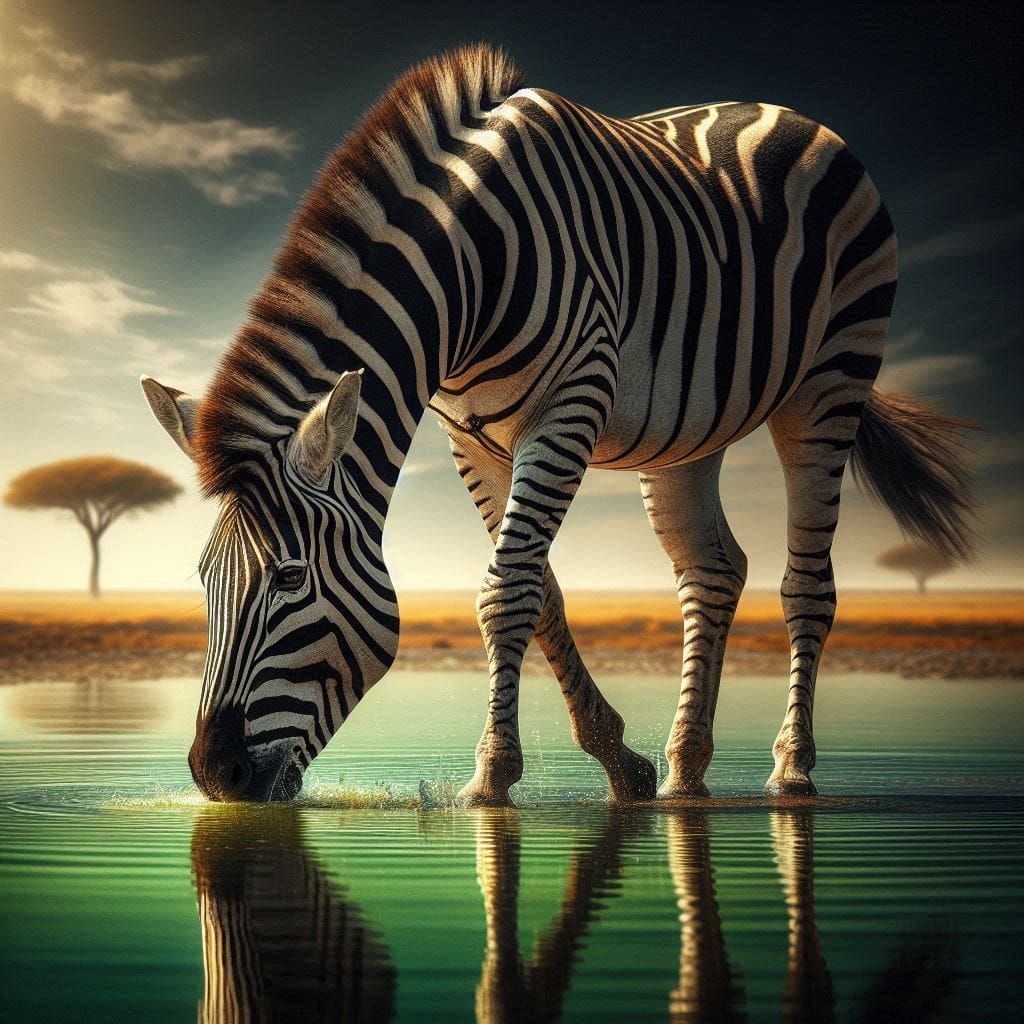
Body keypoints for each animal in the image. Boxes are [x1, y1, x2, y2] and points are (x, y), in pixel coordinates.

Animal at [142, 44, 973, 803]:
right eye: (204, 580)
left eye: (289, 578)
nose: (215, 775)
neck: (469, 270)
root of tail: (792, 114)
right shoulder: (471, 437)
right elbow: (538, 591)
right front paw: (621, 764)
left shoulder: (569, 406)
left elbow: (506, 587)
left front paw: (491, 777)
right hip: (687, 430)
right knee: (712, 570)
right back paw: (686, 771)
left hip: (831, 375)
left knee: (807, 584)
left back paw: (792, 769)